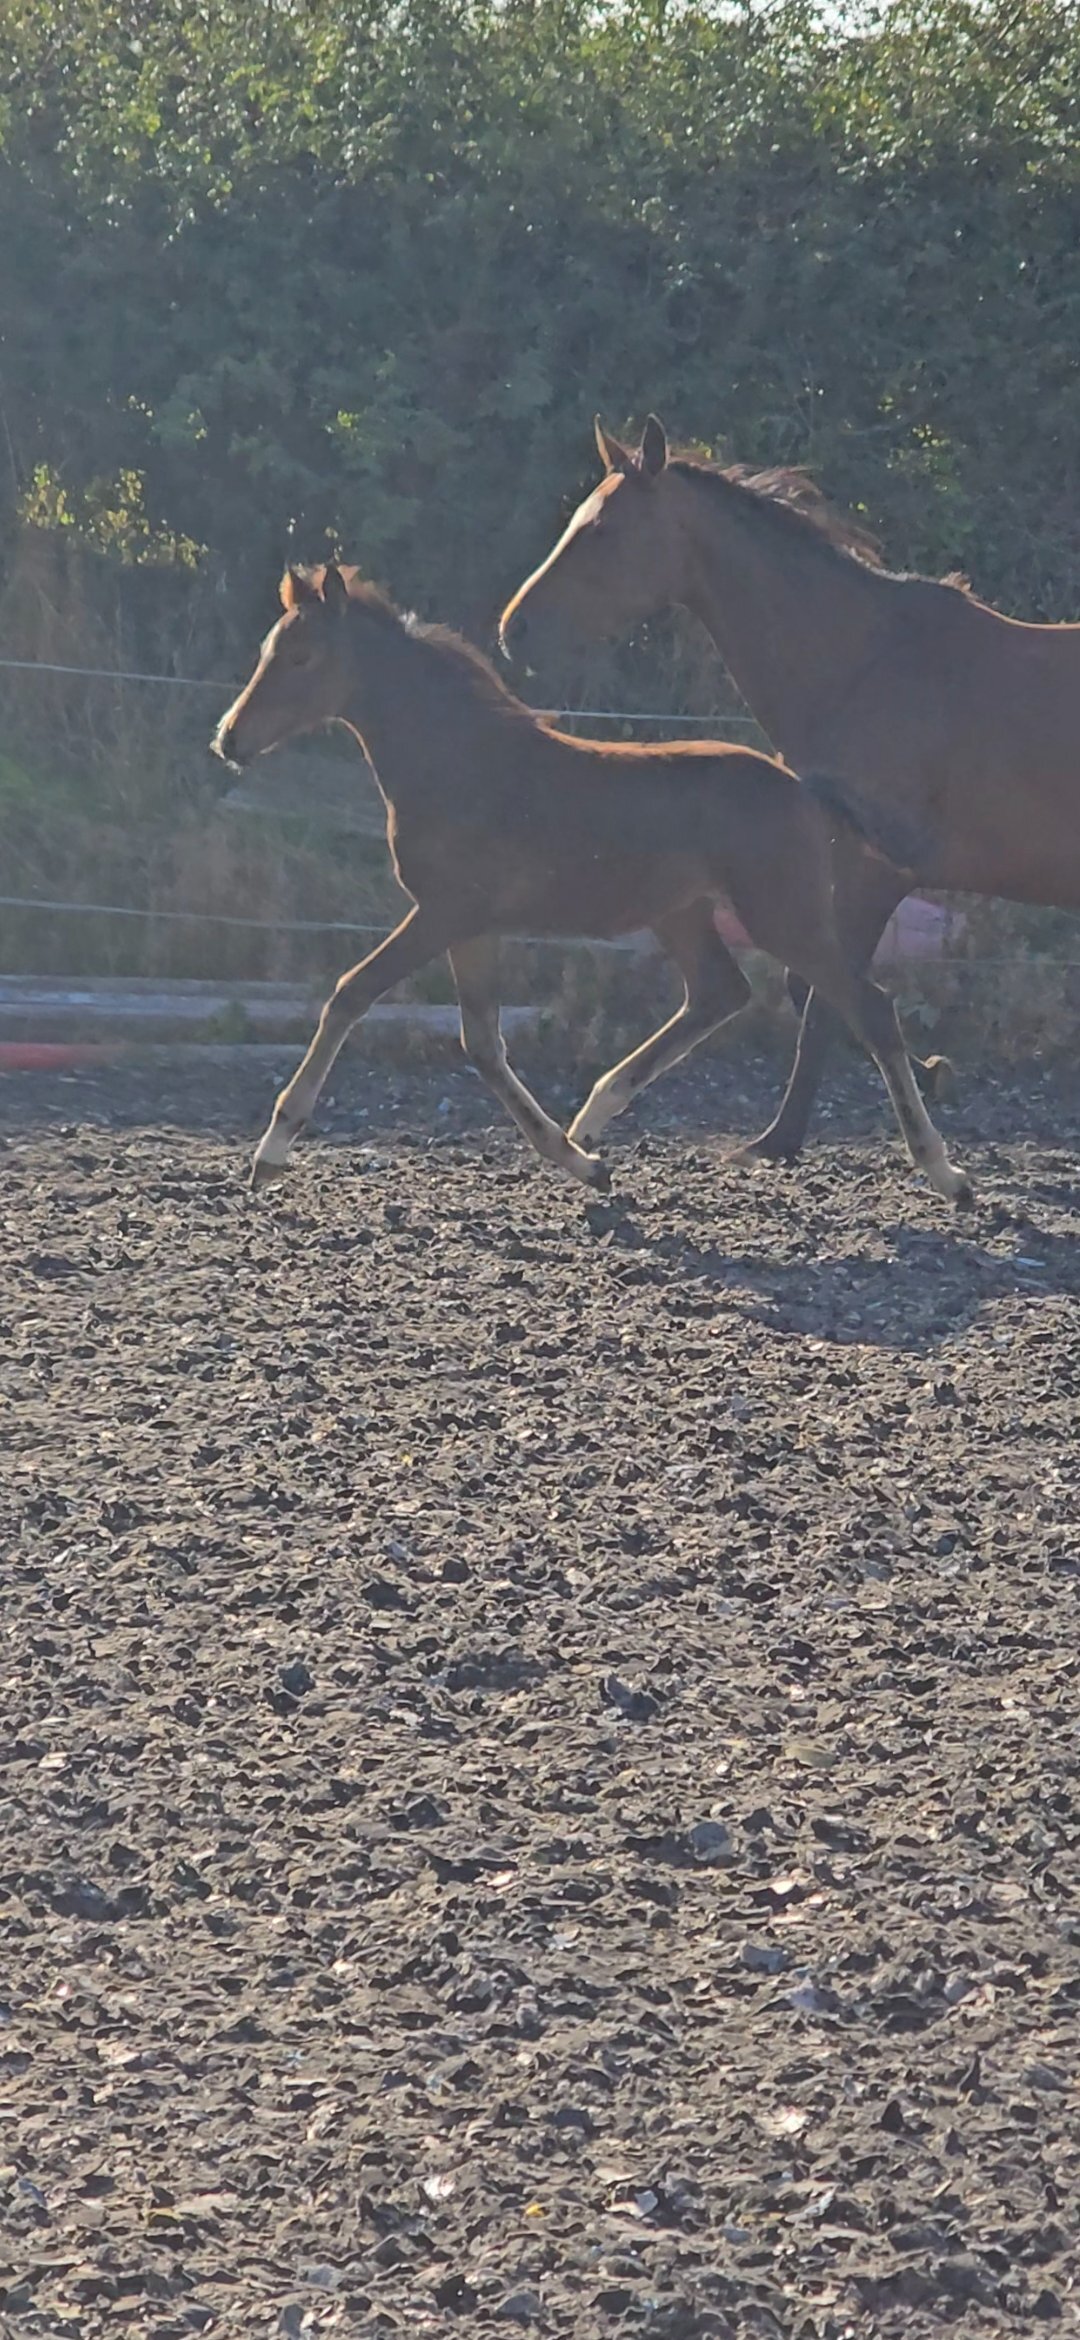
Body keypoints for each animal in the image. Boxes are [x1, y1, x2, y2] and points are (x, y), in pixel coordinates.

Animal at [211, 563, 970, 1209]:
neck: (456, 759)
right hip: (683, 913)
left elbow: (351, 993)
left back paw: (944, 1171)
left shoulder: (443, 912)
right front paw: (582, 1165)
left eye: (302, 658)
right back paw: (593, 1116)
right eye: (269, 651)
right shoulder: (470, 924)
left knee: (868, 1007)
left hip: (783, 914)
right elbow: (481, 1043)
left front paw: (271, 1151)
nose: (229, 740)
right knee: (719, 993)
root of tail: (802, 786)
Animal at [499, 413, 1080, 1161]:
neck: (862, 666)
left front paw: (778, 1139)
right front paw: (929, 1073)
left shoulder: (875, 869)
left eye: (603, 531)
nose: (514, 630)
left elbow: (829, 1001)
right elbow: (816, 992)